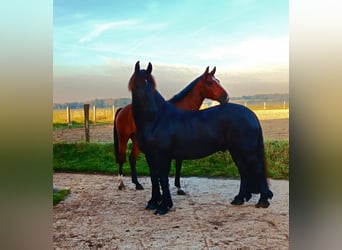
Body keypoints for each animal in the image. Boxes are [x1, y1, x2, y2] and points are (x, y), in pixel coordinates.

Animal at [128, 61, 272, 215]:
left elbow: (163, 179)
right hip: (237, 151)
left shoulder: (163, 156)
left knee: (258, 169)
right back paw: (239, 198)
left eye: (150, 83)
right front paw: (153, 203)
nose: (225, 97)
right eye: (137, 83)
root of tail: (251, 114)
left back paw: (263, 201)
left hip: (248, 152)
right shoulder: (150, 155)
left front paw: (164, 206)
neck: (156, 119)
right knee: (243, 171)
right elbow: (154, 178)